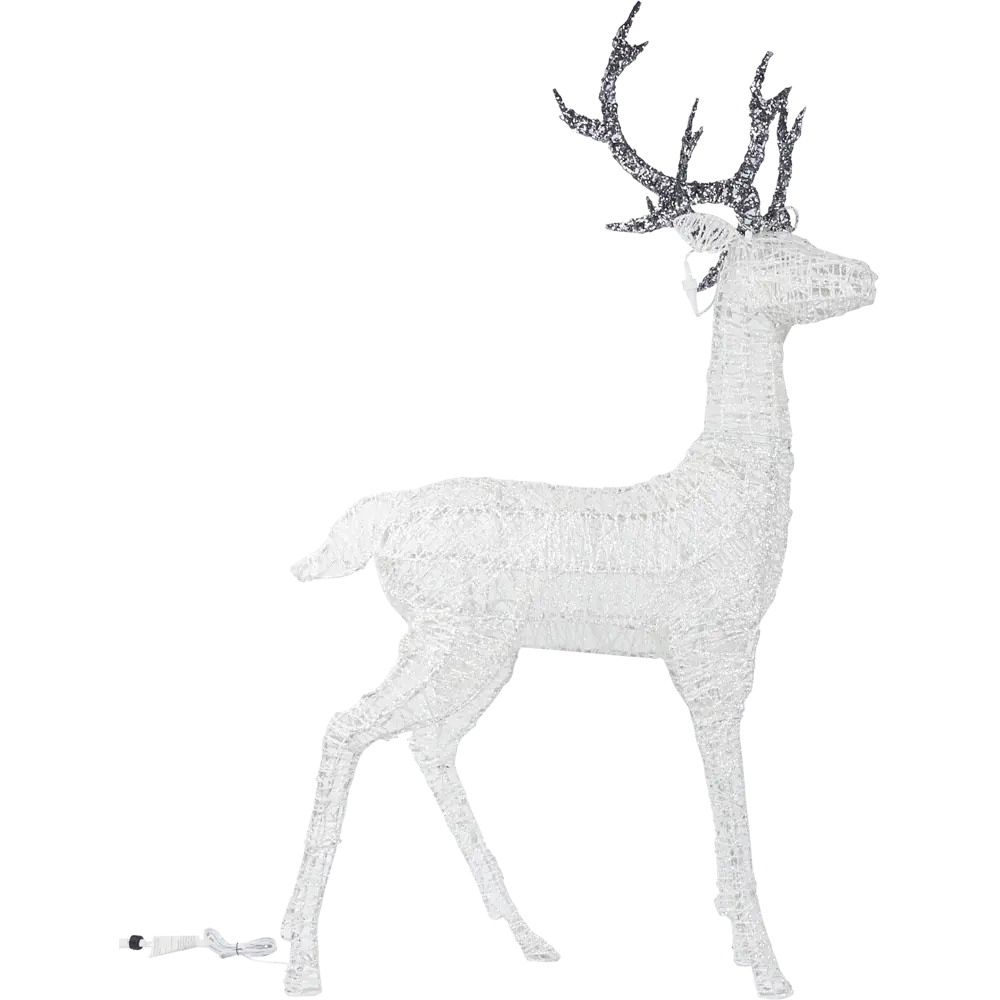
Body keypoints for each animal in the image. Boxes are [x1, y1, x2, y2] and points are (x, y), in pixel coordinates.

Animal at [118, 3, 878, 998]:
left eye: (810, 231)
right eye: (780, 254)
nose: (869, 276)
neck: (724, 491)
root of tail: (379, 518)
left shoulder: (732, 652)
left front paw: (739, 941)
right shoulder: (706, 649)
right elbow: (730, 793)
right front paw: (768, 966)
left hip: (479, 648)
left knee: (428, 745)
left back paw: (530, 937)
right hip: (451, 632)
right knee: (349, 727)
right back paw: (301, 962)